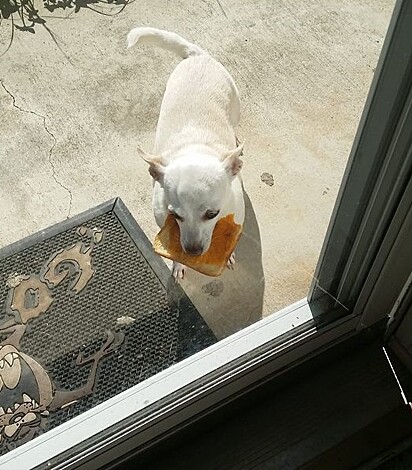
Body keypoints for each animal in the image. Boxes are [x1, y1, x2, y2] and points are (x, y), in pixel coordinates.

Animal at [127, 27, 245, 280]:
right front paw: (178, 264)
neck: (194, 147)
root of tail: (197, 56)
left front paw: (228, 253)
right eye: (176, 216)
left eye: (212, 214)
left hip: (235, 104)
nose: (192, 250)